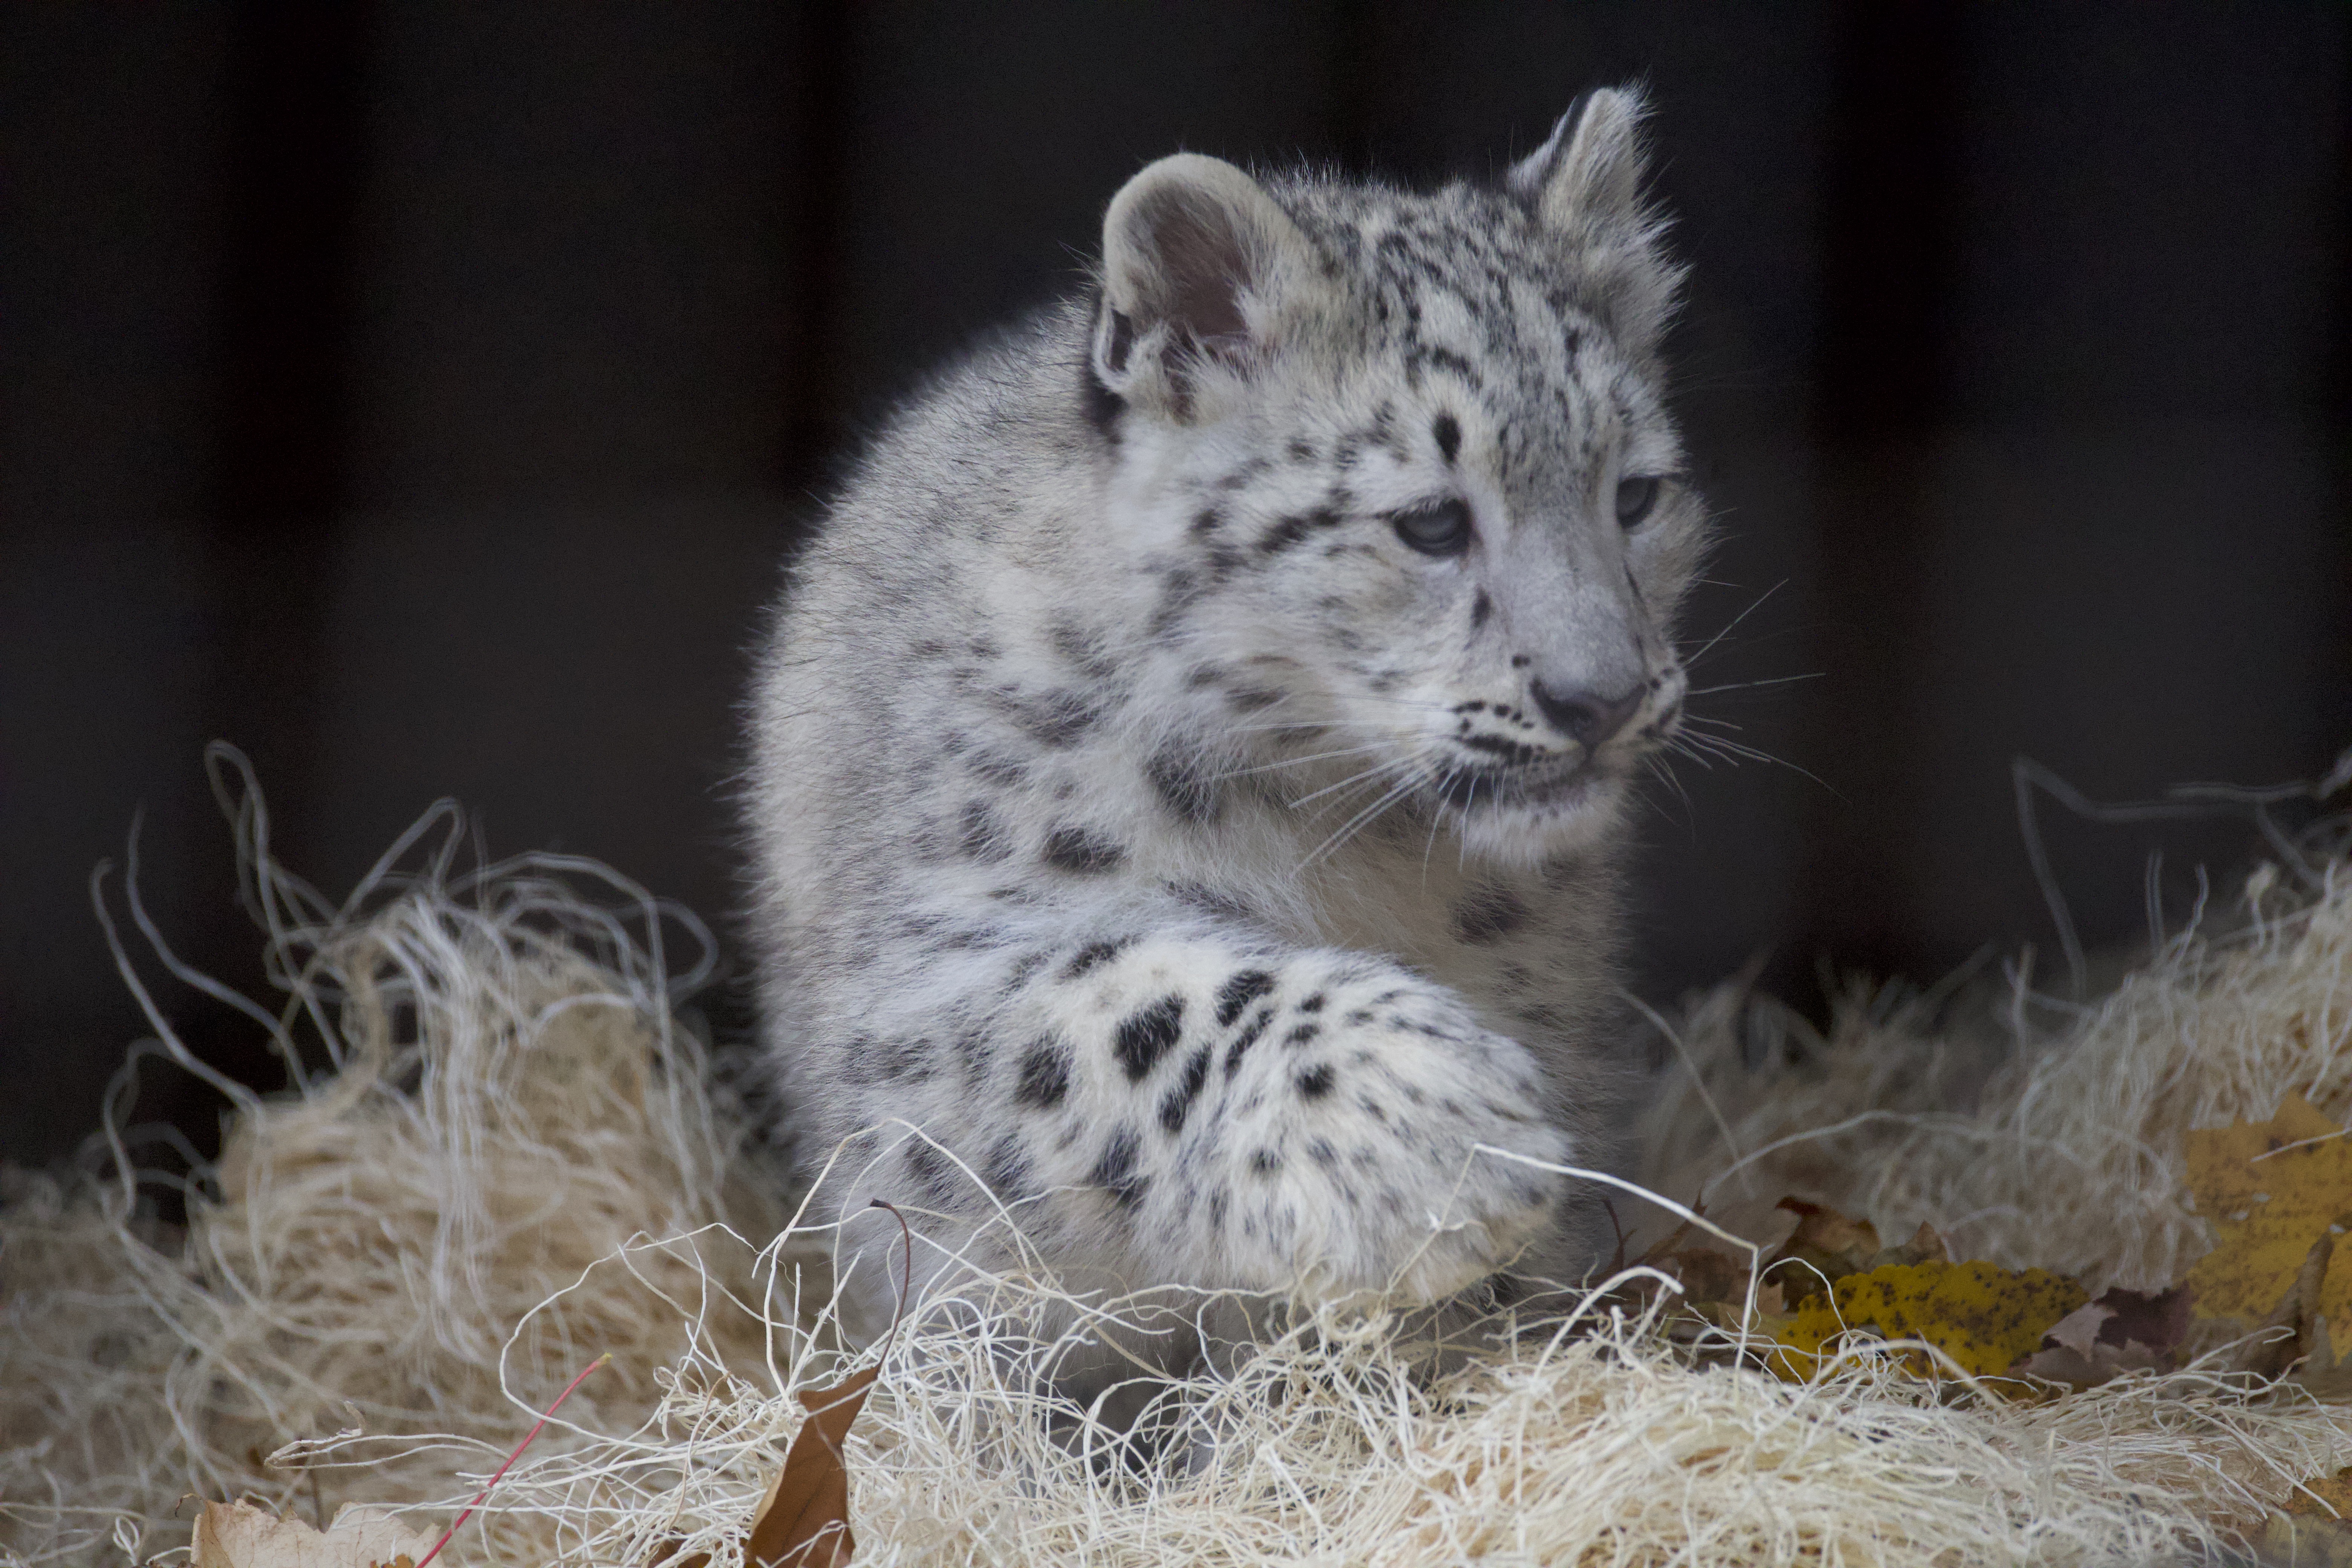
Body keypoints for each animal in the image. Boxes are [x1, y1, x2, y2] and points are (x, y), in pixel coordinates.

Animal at [744, 87, 1708, 1387]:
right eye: (1430, 521)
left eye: (1636, 496)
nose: (1598, 698)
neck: (1358, 846)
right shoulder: (922, 985)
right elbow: (1114, 1005)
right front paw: (1442, 1130)